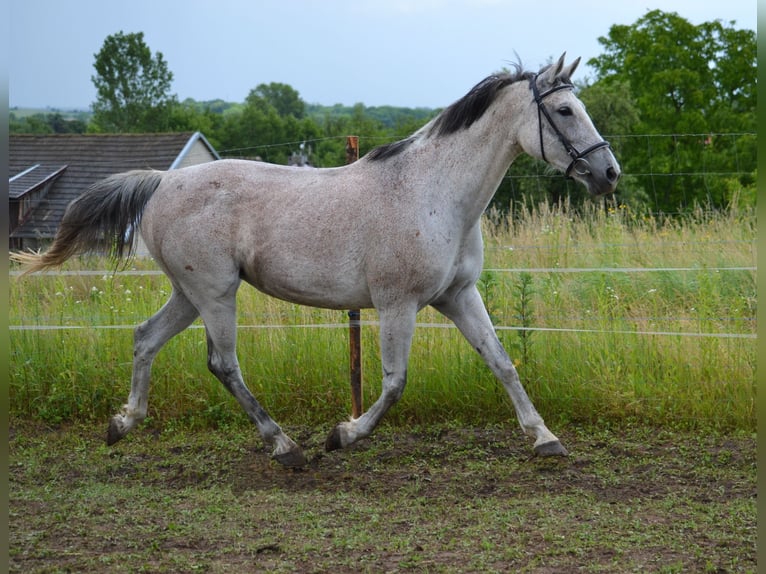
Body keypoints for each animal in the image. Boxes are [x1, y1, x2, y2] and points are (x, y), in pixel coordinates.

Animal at [12, 54, 620, 468]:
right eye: (565, 109)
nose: (609, 173)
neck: (435, 193)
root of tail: (162, 181)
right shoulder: (396, 304)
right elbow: (395, 382)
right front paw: (342, 435)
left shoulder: (457, 296)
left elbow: (501, 361)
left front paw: (545, 438)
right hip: (215, 293)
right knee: (222, 363)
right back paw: (285, 447)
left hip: (191, 293)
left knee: (145, 338)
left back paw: (123, 423)